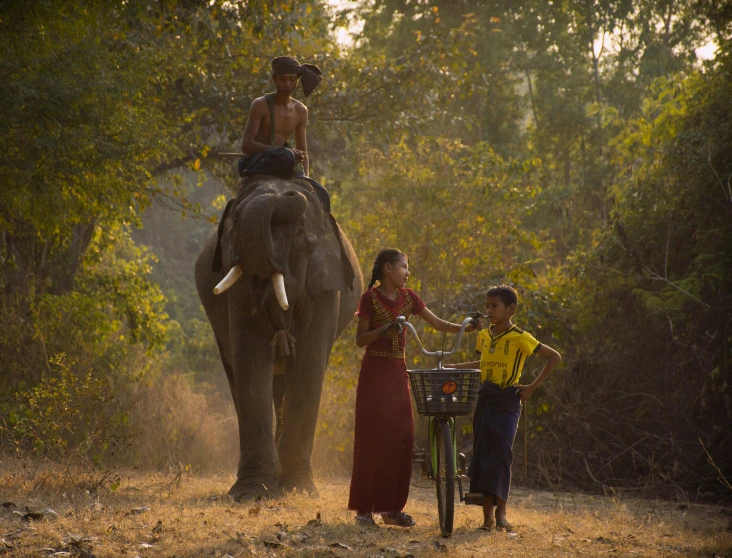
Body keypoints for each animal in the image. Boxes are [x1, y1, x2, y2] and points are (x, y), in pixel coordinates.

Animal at [194, 175, 364, 504]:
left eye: (299, 233)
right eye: (234, 224)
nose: (289, 192)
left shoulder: (326, 287)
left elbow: (310, 367)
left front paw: (299, 490)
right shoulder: (237, 289)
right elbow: (250, 361)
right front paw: (252, 492)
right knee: (239, 377)